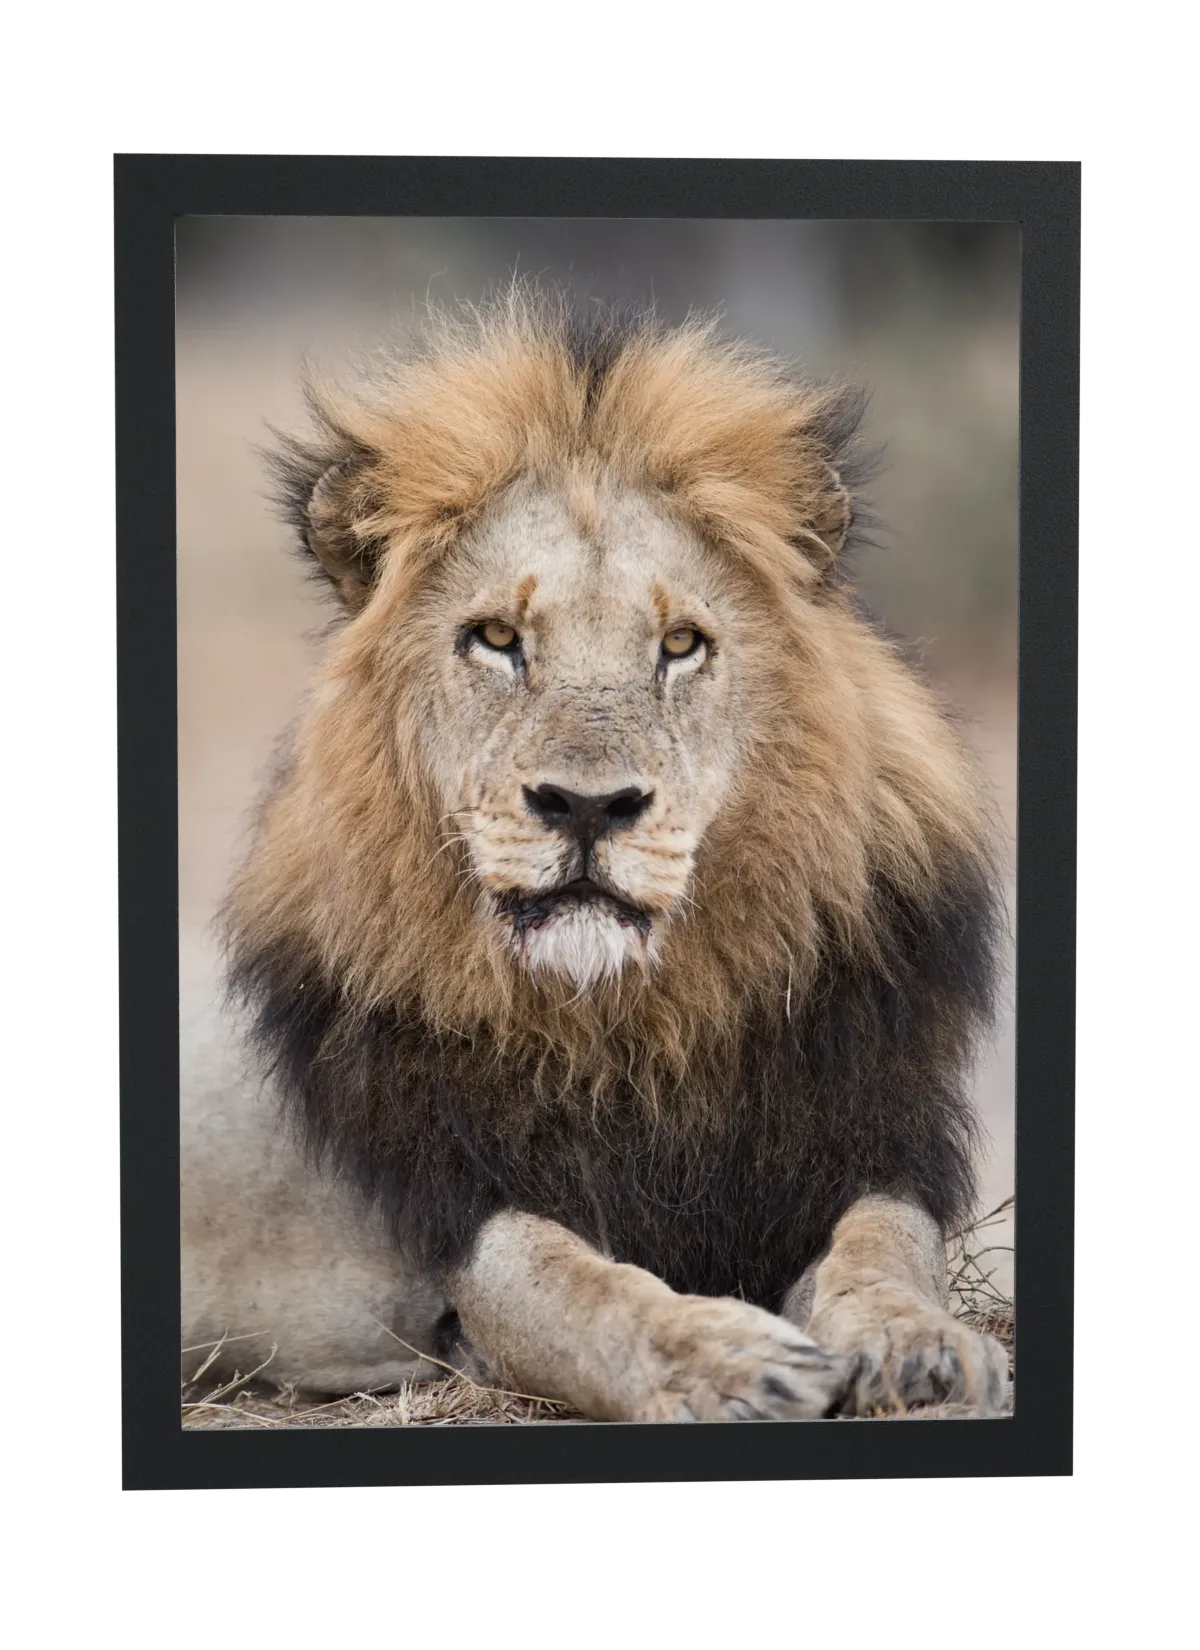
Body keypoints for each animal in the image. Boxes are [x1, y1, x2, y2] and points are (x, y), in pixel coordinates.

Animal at [181, 288, 1011, 1422]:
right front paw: (726, 1362)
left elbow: (883, 1251)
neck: (637, 1028)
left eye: (681, 645)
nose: (586, 807)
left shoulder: (868, 1140)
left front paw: (921, 1350)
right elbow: (578, 1290)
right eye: (495, 638)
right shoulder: (459, 1221)